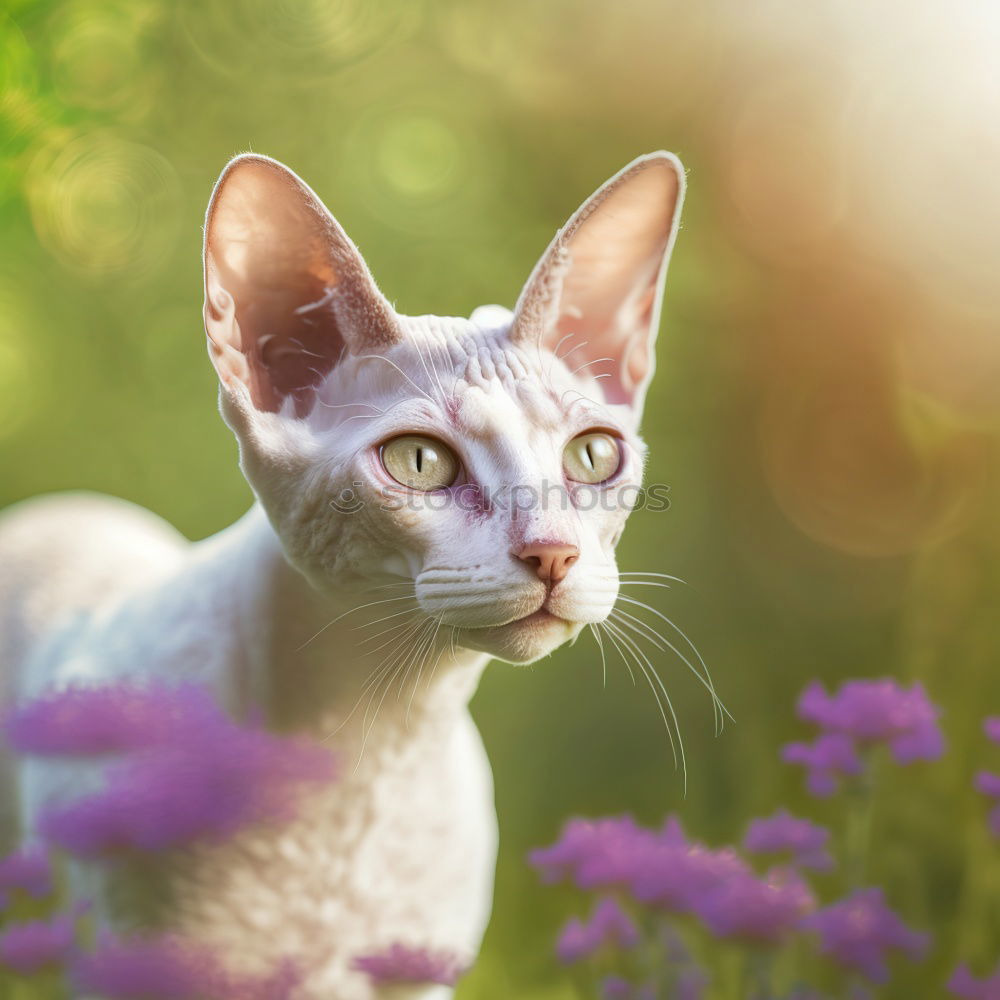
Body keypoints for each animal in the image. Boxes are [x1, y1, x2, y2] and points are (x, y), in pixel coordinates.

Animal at [0, 150, 684, 1000]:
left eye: (593, 455)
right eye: (419, 463)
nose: (553, 551)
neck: (370, 746)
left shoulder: (417, 972)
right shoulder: (131, 960)